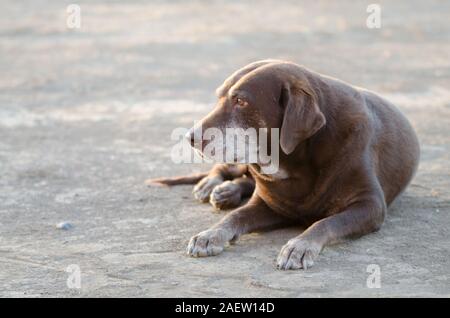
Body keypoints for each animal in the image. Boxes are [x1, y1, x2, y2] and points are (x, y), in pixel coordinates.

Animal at [149, 60, 420, 270]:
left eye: (241, 101)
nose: (190, 138)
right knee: (229, 171)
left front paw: (300, 245)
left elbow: (326, 222)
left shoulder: (370, 205)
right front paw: (211, 233)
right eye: (219, 98)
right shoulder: (269, 204)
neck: (297, 160)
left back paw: (228, 191)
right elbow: (235, 216)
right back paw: (214, 186)